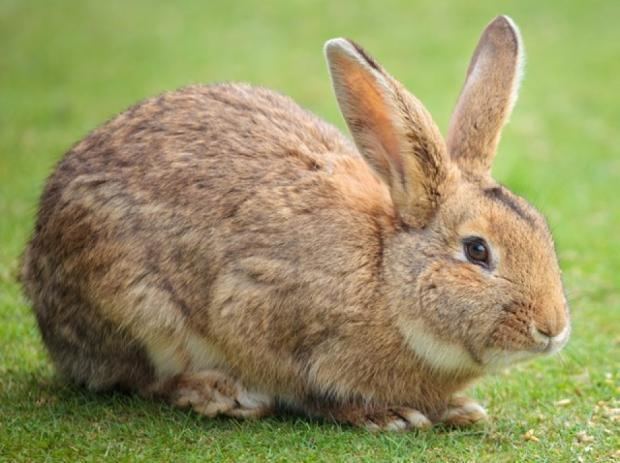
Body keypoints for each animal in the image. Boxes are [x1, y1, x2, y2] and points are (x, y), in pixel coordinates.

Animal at [21, 17, 568, 432]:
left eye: (543, 232)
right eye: (477, 251)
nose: (554, 329)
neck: (385, 274)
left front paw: (458, 409)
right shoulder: (257, 308)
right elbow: (306, 389)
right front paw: (385, 416)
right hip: (134, 307)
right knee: (139, 378)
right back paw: (217, 395)